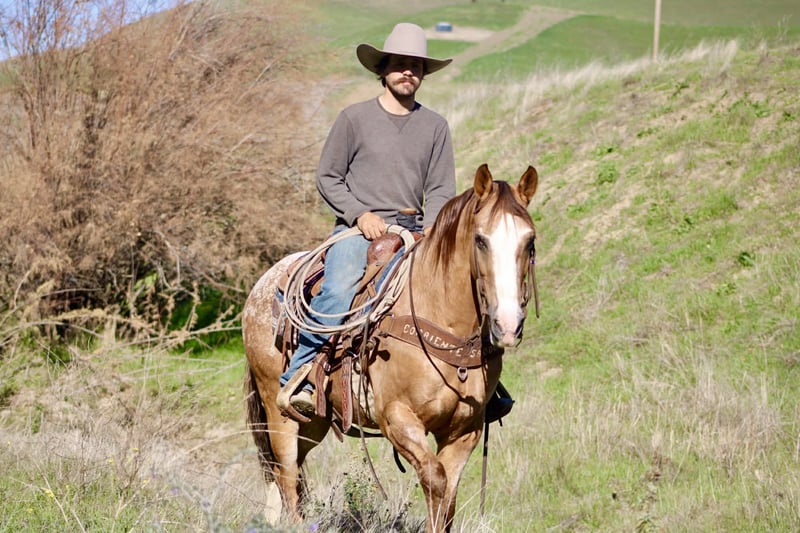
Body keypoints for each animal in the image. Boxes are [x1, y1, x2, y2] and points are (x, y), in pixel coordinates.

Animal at [243, 163, 539, 532]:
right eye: (480, 240)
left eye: (530, 240)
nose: (508, 325)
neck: (440, 315)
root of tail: (262, 285)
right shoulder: (397, 419)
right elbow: (435, 480)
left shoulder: (464, 430)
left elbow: (448, 498)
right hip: (276, 409)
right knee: (285, 474)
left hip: (313, 423)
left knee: (294, 472)